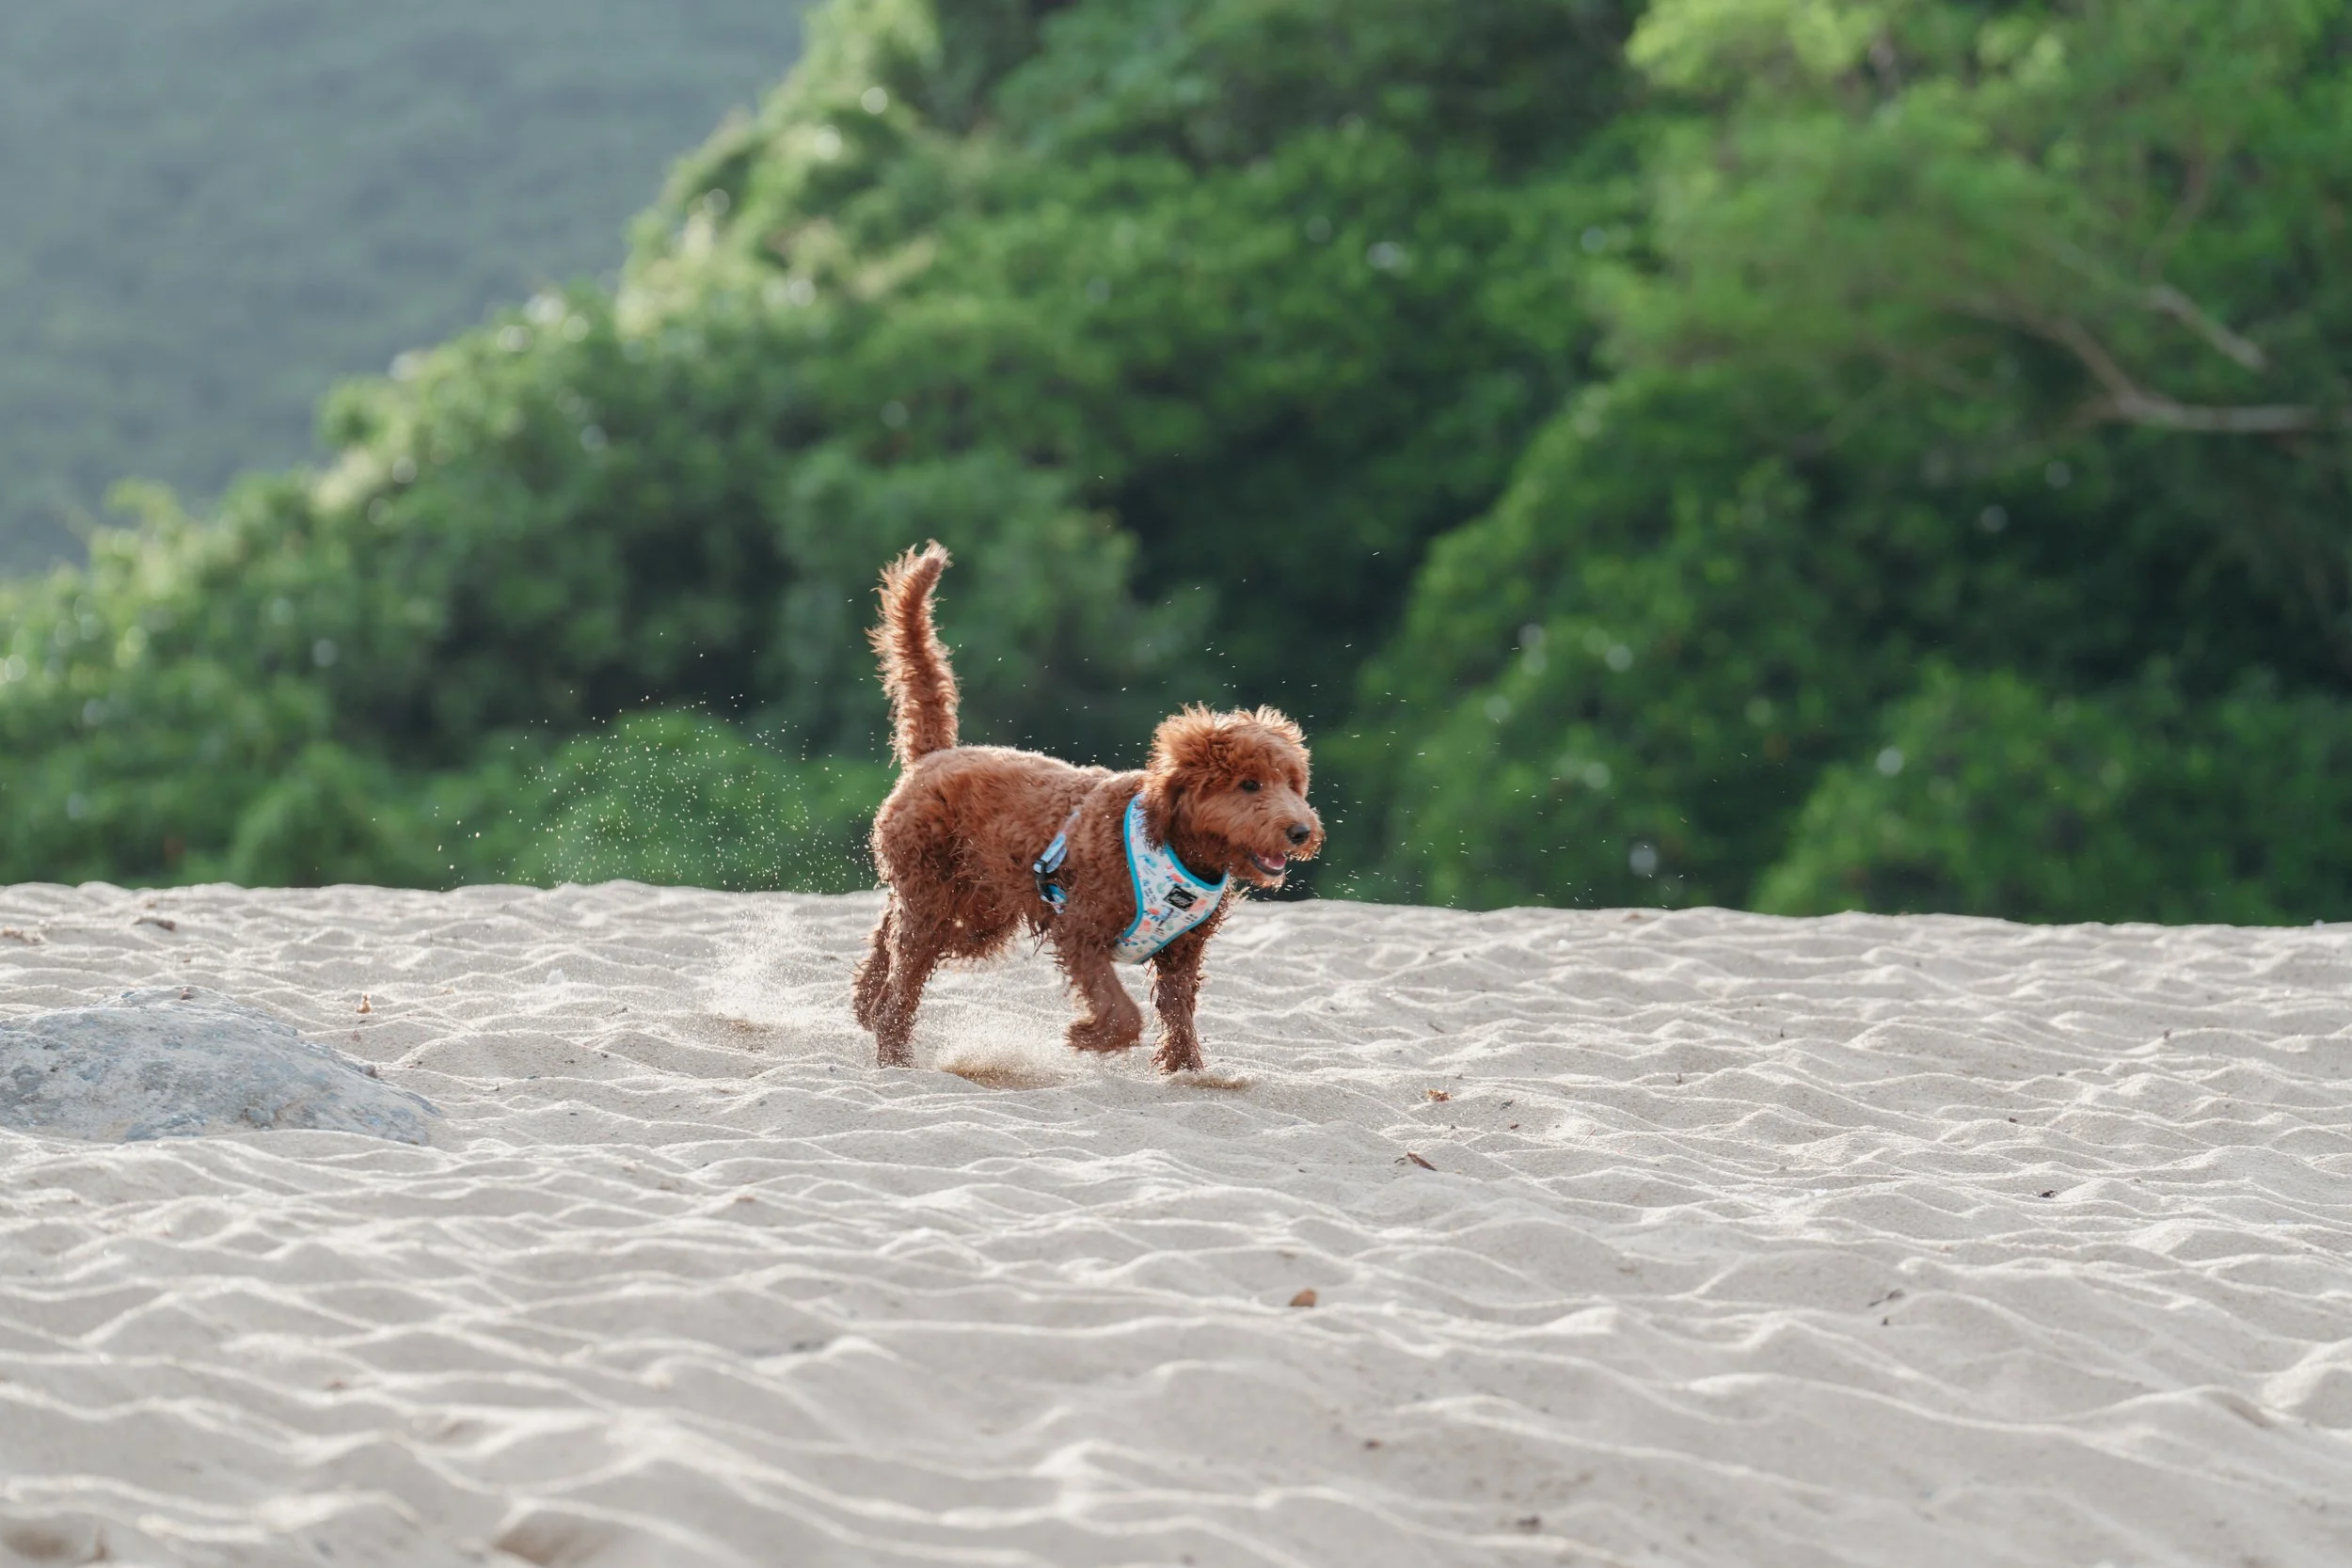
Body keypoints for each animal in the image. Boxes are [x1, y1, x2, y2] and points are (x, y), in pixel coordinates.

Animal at [851, 543, 1322, 1073]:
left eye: (1293, 784)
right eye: (1249, 784)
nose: (1302, 831)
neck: (1174, 846)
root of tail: (935, 756)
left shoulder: (1182, 952)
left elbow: (1179, 1011)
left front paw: (1188, 1072)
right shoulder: (1080, 930)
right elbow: (1124, 1014)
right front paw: (1087, 1036)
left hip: (978, 910)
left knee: (895, 936)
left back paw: (867, 1002)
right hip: (937, 894)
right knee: (906, 971)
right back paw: (892, 1046)